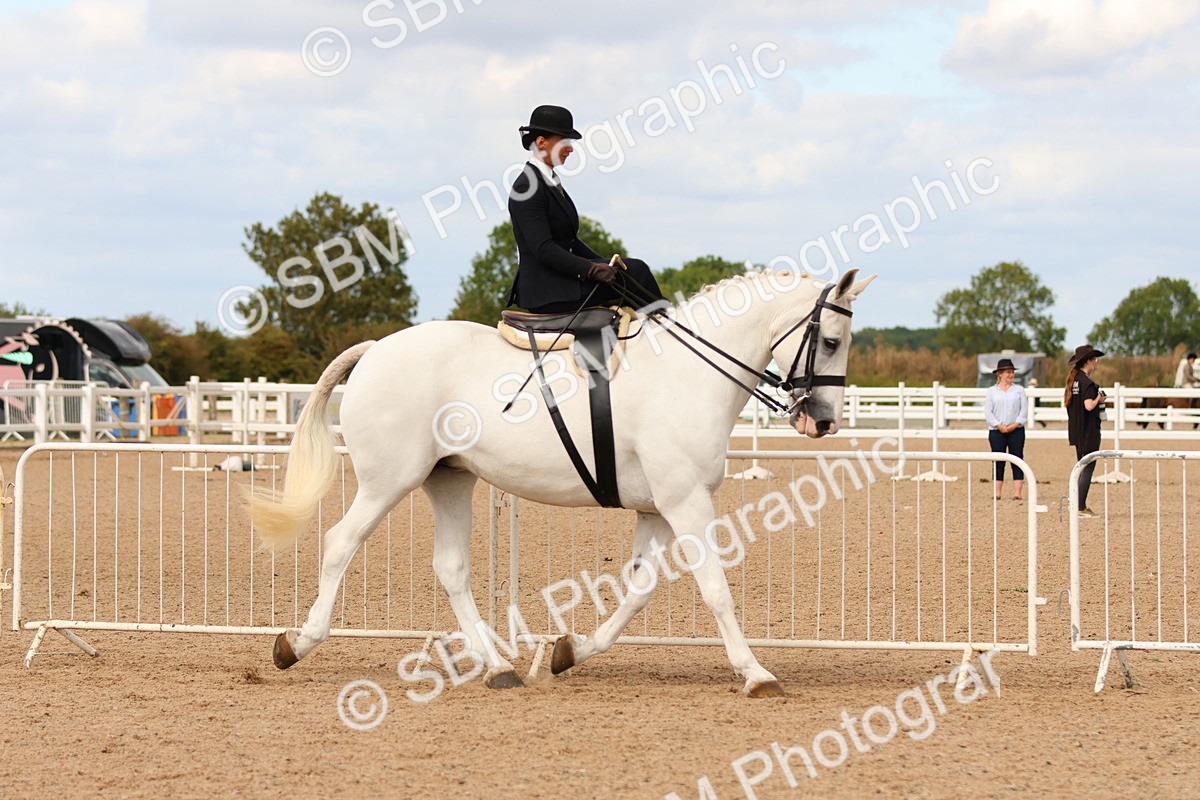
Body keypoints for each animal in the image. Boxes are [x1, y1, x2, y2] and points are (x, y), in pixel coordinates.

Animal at [252, 268, 875, 697]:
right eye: (831, 341)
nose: (822, 422)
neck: (688, 375)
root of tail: (377, 348)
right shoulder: (686, 502)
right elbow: (715, 588)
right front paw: (756, 673)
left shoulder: (657, 509)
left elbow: (639, 590)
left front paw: (570, 651)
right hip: (388, 481)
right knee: (340, 543)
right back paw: (296, 644)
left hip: (448, 480)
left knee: (451, 569)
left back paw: (498, 668)